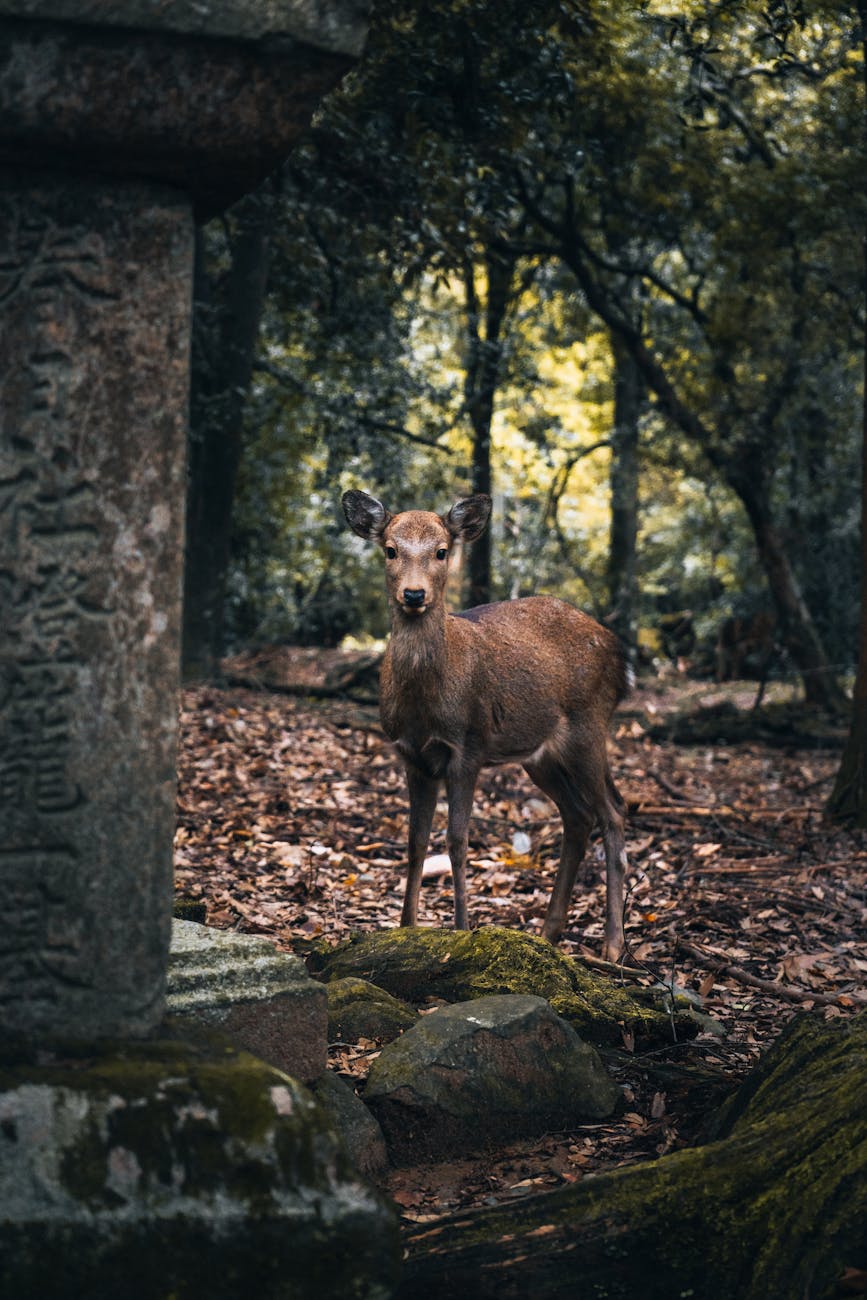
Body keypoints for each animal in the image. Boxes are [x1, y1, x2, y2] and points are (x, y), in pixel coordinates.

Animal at [342, 489, 632, 960]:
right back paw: (548, 932)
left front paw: (461, 930)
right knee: (579, 815)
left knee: (614, 811)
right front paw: (405, 929)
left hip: (589, 725)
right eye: (390, 549)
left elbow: (457, 841)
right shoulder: (411, 755)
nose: (414, 594)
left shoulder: (469, 747)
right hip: (539, 754)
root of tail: (622, 657)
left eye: (442, 551)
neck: (427, 704)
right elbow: (415, 841)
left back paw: (612, 944)